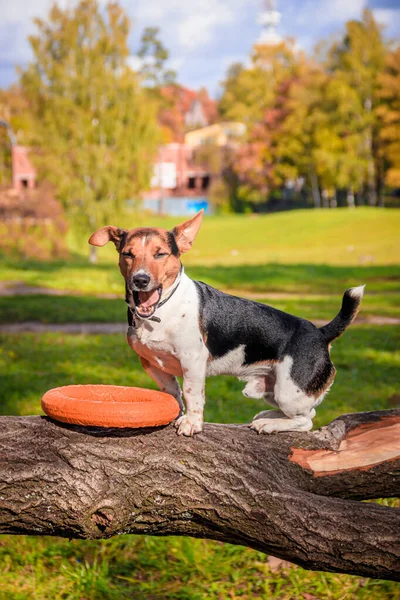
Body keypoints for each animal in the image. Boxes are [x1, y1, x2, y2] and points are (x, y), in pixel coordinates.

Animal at [89, 210, 364, 436]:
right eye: (128, 254)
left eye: (160, 254)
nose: (141, 280)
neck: (162, 311)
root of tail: (321, 333)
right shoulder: (151, 363)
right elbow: (172, 392)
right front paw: (175, 413)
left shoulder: (193, 360)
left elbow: (191, 393)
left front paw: (192, 423)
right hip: (273, 390)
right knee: (298, 413)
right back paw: (266, 416)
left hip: (290, 392)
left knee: (307, 419)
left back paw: (269, 424)